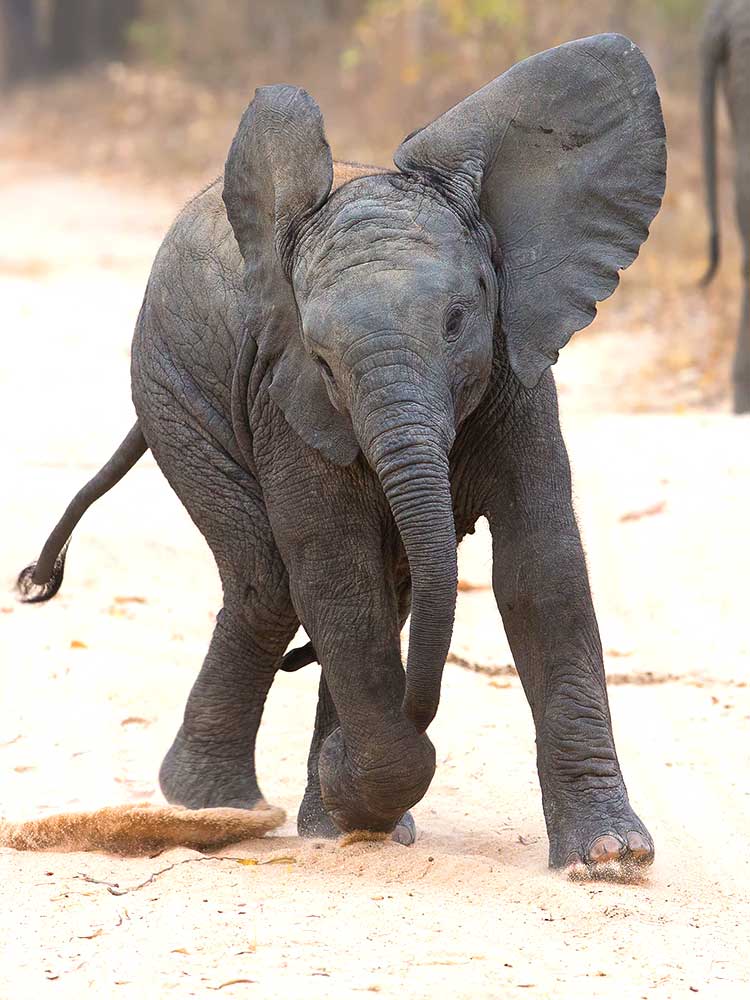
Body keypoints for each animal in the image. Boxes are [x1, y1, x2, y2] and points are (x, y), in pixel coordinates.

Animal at [17, 34, 666, 874]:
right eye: (322, 358)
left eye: (458, 321)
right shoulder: (286, 395)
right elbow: (335, 571)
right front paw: (355, 784)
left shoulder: (518, 370)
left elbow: (541, 570)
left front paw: (613, 858)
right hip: (172, 391)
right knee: (270, 585)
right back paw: (220, 805)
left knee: (381, 587)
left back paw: (324, 812)